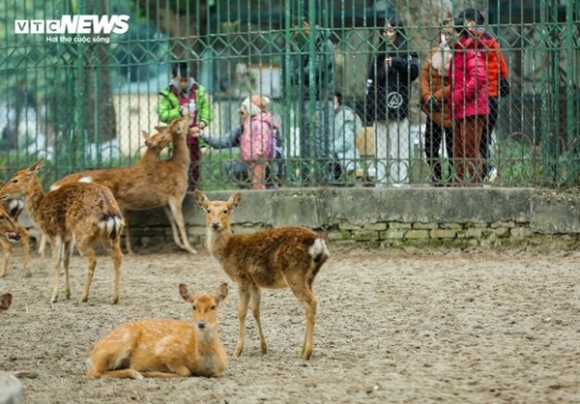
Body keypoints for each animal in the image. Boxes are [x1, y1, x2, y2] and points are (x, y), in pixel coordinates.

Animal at [0, 158, 124, 304]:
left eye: (15, 180)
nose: (1, 193)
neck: (38, 210)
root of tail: (112, 216)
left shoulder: (53, 233)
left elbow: (56, 261)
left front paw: (54, 296)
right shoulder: (68, 237)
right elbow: (66, 261)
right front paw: (67, 293)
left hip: (82, 235)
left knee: (92, 259)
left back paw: (84, 296)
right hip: (112, 237)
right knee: (118, 257)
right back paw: (114, 298)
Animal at [47, 113, 193, 254]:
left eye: (175, 121)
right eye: (181, 121)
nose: (188, 115)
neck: (179, 166)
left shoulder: (164, 201)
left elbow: (172, 221)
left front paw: (181, 245)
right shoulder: (176, 195)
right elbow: (181, 222)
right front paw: (190, 248)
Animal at [86, 280, 229, 378]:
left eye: (213, 306)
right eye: (193, 306)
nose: (201, 324)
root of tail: (93, 352)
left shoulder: (221, 369)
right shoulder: (166, 349)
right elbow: (186, 372)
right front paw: (152, 371)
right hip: (118, 344)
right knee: (93, 372)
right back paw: (136, 373)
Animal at [195, 190, 330, 360]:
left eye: (226, 210)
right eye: (208, 210)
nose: (215, 224)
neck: (227, 251)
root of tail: (319, 242)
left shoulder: (242, 277)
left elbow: (241, 312)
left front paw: (237, 351)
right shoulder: (255, 283)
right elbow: (256, 311)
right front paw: (264, 348)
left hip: (294, 273)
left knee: (311, 302)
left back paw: (307, 353)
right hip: (309, 276)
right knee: (309, 304)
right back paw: (302, 350)